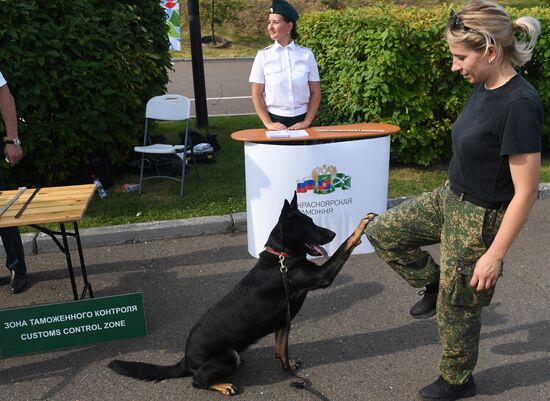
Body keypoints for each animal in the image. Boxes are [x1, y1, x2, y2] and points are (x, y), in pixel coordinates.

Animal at [108, 193, 376, 394]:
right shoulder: (323, 277)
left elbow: (281, 349)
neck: (282, 256)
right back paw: (223, 385)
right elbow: (344, 248)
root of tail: (185, 359)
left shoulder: (283, 322)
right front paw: (360, 227)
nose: (332, 234)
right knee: (197, 381)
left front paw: (288, 365)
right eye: (308, 225)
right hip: (229, 356)